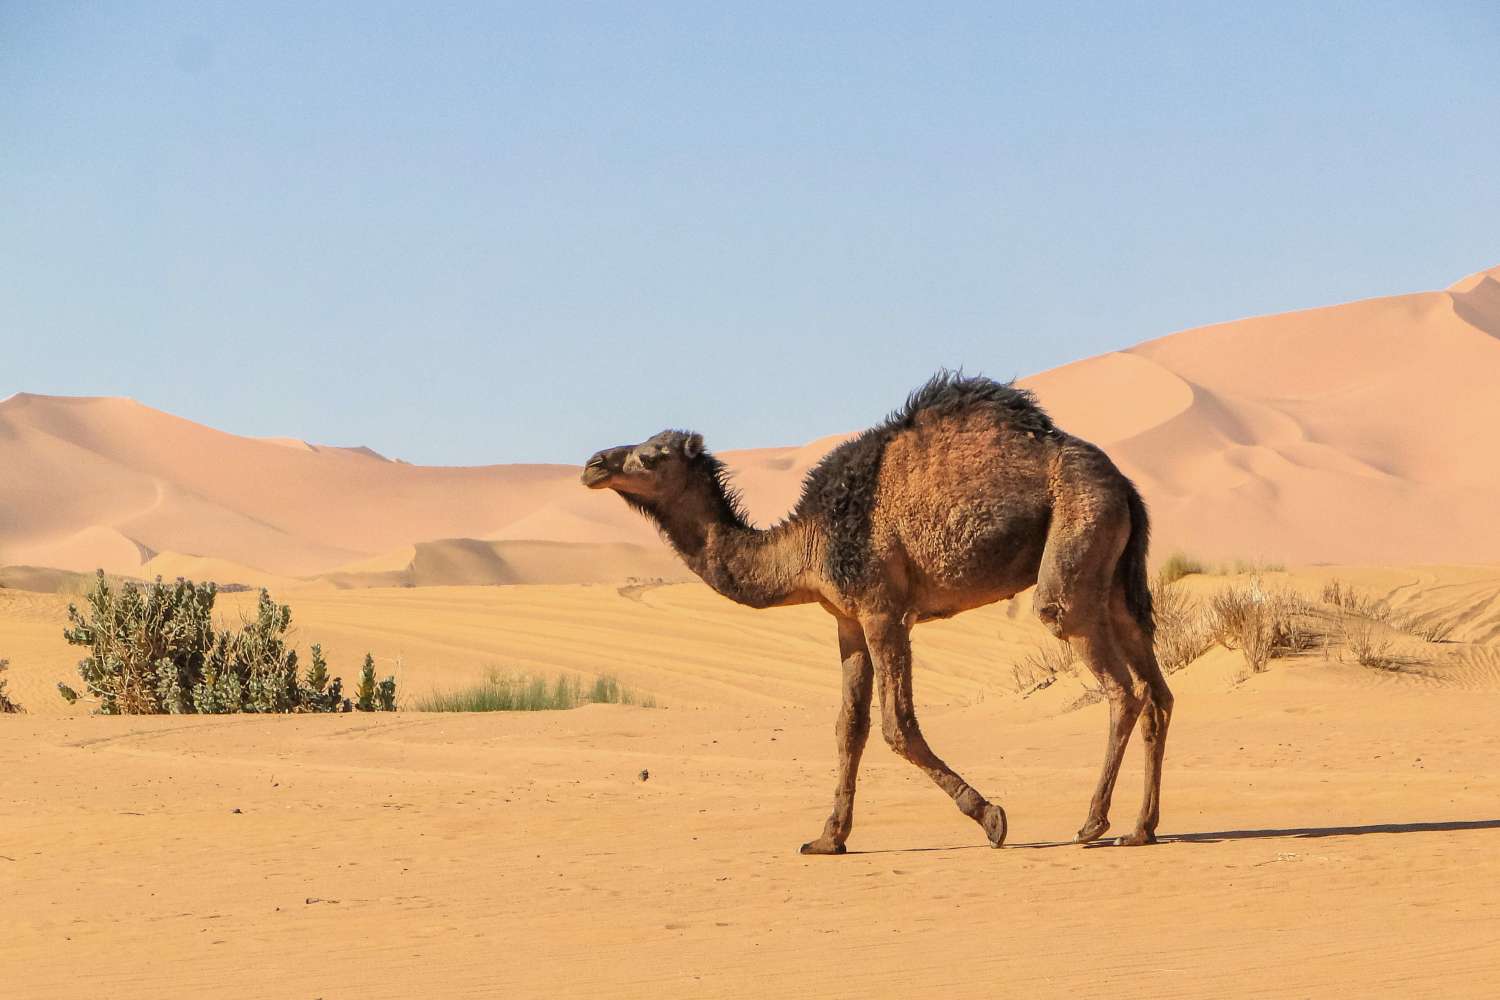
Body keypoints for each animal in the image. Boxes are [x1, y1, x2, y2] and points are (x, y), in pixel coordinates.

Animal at [581, 372, 1171, 853]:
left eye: (651, 456)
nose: (593, 465)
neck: (808, 543)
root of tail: (1124, 484)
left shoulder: (882, 608)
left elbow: (897, 725)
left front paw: (991, 818)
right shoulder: (847, 618)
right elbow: (849, 727)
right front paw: (827, 839)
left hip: (1076, 533)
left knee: (1115, 679)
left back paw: (1092, 824)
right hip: (1114, 574)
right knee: (1156, 690)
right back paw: (1140, 829)